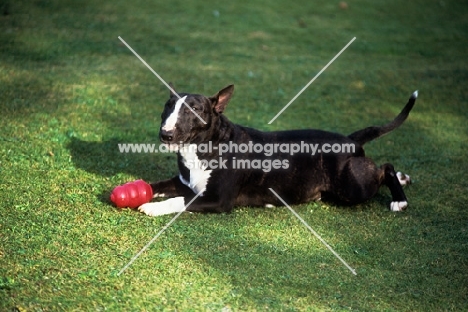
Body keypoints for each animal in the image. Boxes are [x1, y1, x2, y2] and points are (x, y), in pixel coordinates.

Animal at [137, 85, 414, 217]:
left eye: (194, 109)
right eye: (167, 106)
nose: (165, 134)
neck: (207, 145)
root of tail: (350, 140)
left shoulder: (218, 199)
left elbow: (179, 200)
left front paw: (152, 207)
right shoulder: (182, 181)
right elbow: (157, 185)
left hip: (352, 187)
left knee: (385, 168)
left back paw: (399, 199)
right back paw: (403, 178)